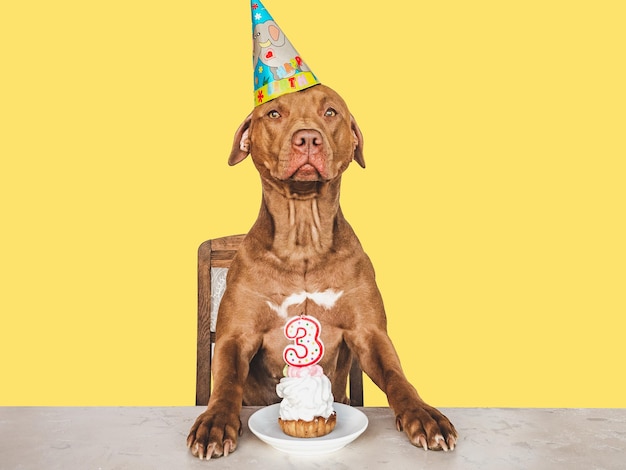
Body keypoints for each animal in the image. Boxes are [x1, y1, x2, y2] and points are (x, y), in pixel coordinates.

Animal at [188, 84, 456, 458]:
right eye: (274, 113)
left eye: (330, 112)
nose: (308, 139)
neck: (304, 240)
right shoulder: (235, 337)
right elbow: (226, 381)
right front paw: (214, 422)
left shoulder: (369, 333)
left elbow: (396, 376)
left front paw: (423, 415)